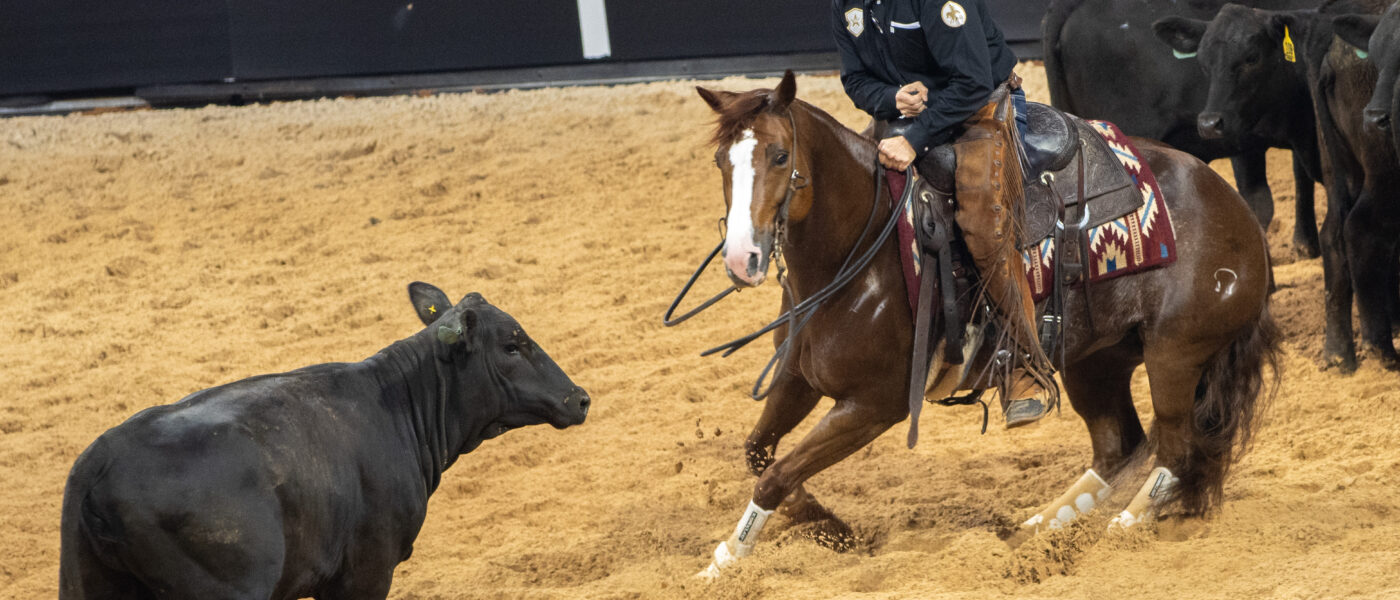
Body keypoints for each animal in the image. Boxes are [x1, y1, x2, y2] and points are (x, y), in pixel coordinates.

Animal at [687, 71, 1280, 576]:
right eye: (719, 160)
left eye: (780, 155)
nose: (741, 259)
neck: (862, 251)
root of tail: (1234, 209)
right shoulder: (798, 378)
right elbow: (759, 454)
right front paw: (825, 528)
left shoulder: (873, 406)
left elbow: (776, 474)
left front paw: (729, 559)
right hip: (1095, 359)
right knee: (1118, 444)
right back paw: (1037, 531)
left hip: (1175, 355)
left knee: (1176, 450)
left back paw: (1119, 531)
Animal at [1154, 0, 1400, 372]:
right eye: (1204, 63)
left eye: (1252, 57)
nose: (1209, 123)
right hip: (1379, 168)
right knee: (1360, 230)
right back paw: (1381, 350)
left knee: (1334, 235)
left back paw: (1339, 351)